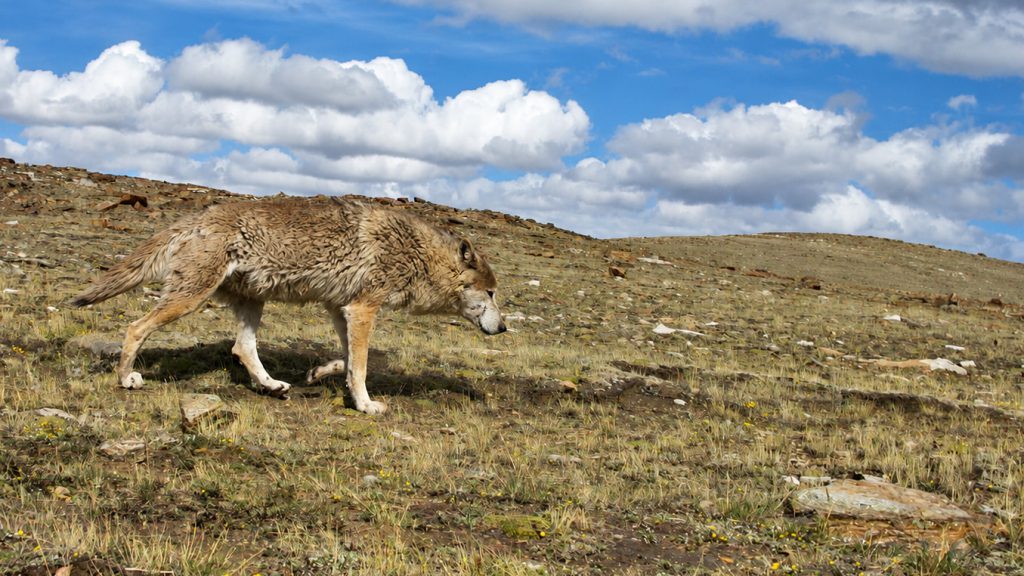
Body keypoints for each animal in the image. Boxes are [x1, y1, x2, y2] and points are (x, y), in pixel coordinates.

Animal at [72, 197, 505, 414]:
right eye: (490, 294)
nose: (503, 328)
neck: (416, 253)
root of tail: (196, 218)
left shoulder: (340, 308)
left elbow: (349, 361)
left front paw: (319, 375)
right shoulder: (363, 309)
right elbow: (363, 367)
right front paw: (365, 405)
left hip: (252, 302)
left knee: (242, 348)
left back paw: (272, 386)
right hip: (189, 299)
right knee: (136, 328)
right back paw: (126, 378)